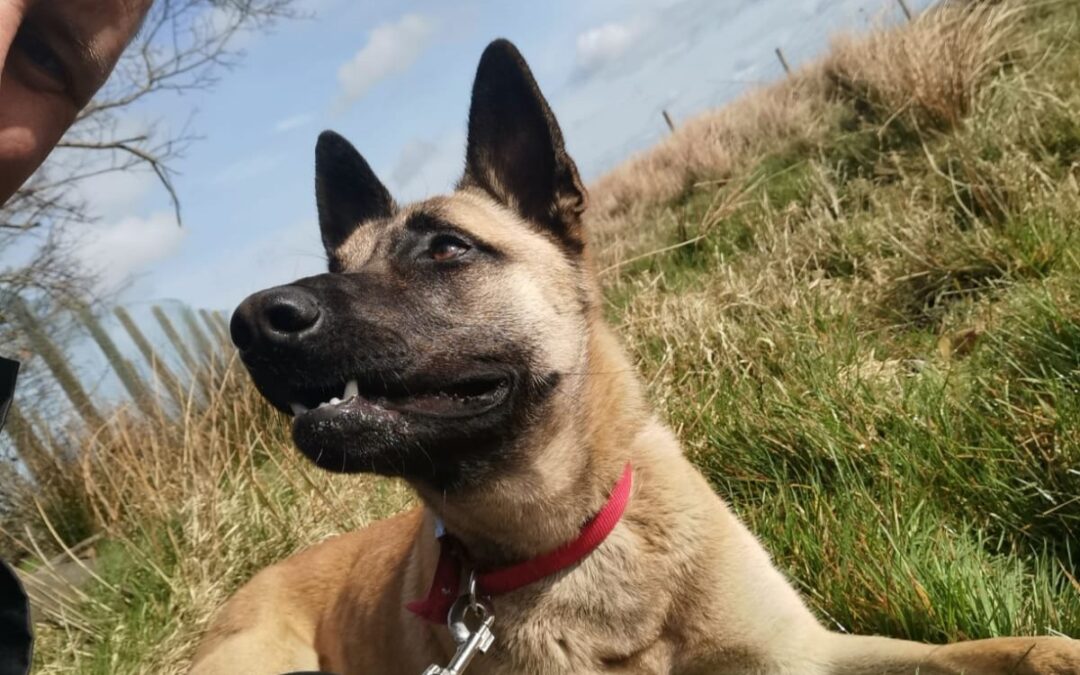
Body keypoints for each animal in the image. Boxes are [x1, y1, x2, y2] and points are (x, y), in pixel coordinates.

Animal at [194, 40, 1080, 673]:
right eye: (340, 264)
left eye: (446, 247)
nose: (250, 322)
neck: (566, 541)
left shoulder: (811, 652)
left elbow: (995, 649)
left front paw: (1052, 647)